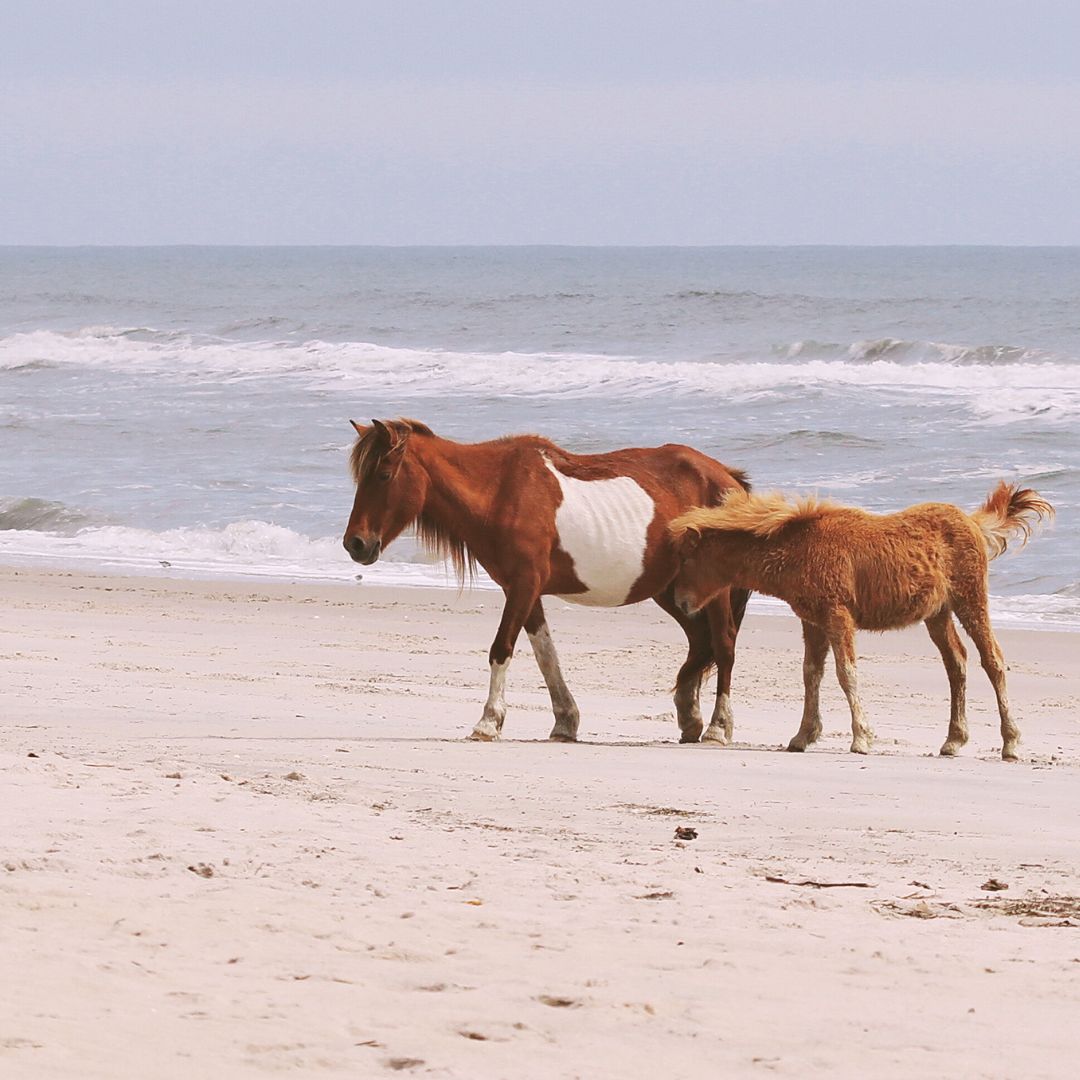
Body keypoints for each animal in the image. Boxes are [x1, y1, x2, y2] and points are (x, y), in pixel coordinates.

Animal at [343, 419, 751, 743]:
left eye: (383, 475)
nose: (355, 544)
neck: (499, 491)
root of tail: (725, 478)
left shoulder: (524, 584)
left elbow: (502, 649)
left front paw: (488, 722)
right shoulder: (523, 589)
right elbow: (545, 655)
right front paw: (565, 722)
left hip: (711, 589)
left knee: (723, 644)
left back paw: (718, 727)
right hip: (670, 589)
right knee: (700, 642)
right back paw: (689, 717)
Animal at [669, 481, 1049, 760]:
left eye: (688, 559)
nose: (681, 602)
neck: (800, 548)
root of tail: (972, 522)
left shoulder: (838, 616)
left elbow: (845, 673)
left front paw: (861, 738)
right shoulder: (813, 622)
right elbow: (811, 674)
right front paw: (802, 735)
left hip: (970, 599)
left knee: (992, 660)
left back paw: (1010, 743)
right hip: (938, 614)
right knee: (956, 663)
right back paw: (953, 740)